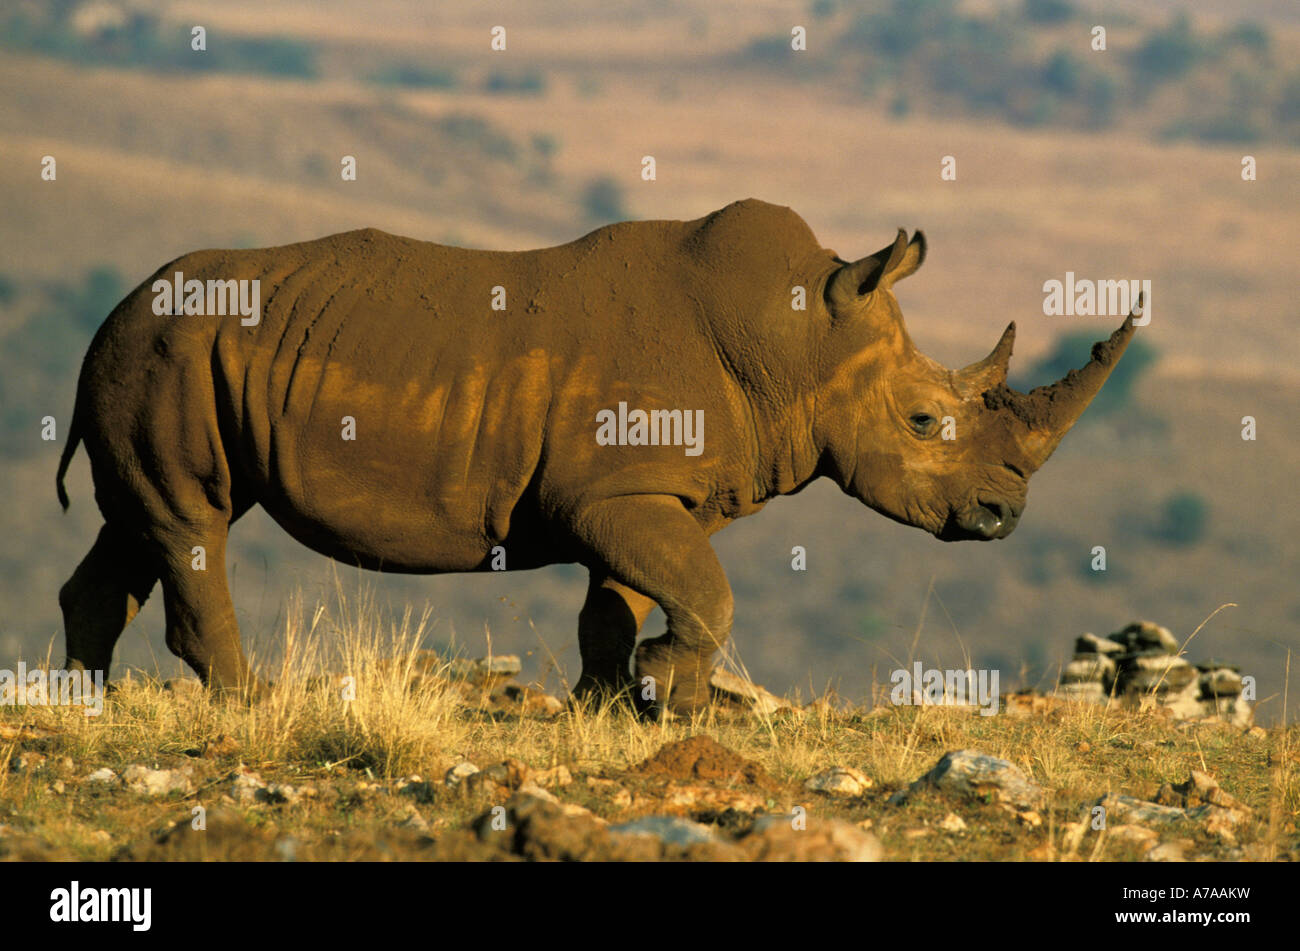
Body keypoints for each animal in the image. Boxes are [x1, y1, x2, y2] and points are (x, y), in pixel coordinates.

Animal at [55, 199, 1138, 713]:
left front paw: (625, 705)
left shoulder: (639, 490)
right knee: (190, 521)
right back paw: (250, 707)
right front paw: (660, 693)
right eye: (921, 422)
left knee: (142, 527)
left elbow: (621, 600)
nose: (1003, 517)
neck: (797, 343)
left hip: (169, 349)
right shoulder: (612, 492)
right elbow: (704, 594)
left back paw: (81, 704)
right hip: (163, 350)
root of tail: (114, 310)